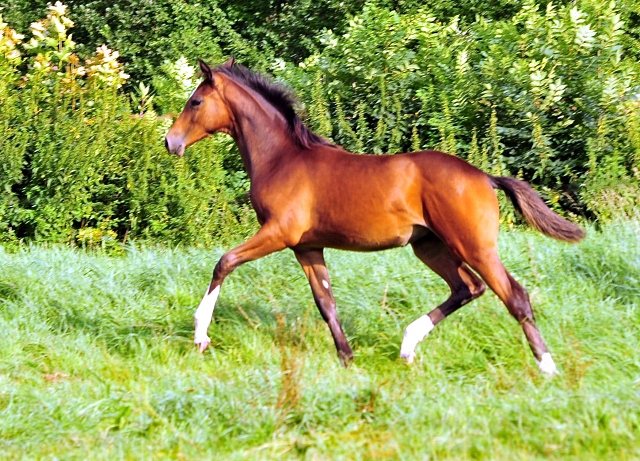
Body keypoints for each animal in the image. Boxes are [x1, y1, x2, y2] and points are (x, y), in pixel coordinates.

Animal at [165, 58, 584, 374]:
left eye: (196, 101)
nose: (171, 142)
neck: (282, 159)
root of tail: (484, 176)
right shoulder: (307, 247)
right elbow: (326, 302)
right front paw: (347, 359)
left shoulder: (279, 233)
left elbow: (224, 261)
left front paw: (201, 334)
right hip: (430, 246)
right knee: (467, 287)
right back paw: (408, 345)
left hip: (473, 245)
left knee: (514, 295)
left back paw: (547, 367)